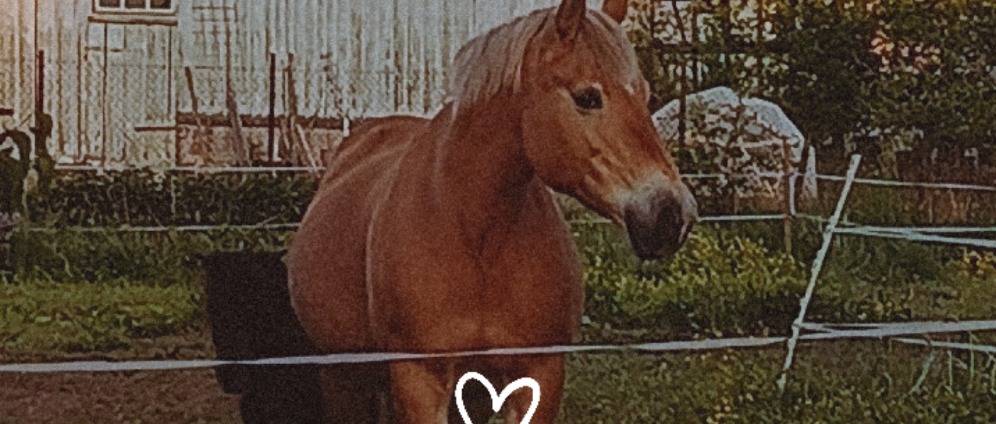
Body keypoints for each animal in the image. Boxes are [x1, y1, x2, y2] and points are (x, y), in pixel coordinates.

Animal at [286, 0, 698, 422]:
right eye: (587, 97)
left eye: (645, 95)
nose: (672, 214)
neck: (476, 235)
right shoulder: (420, 379)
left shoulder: (537, 374)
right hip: (342, 379)